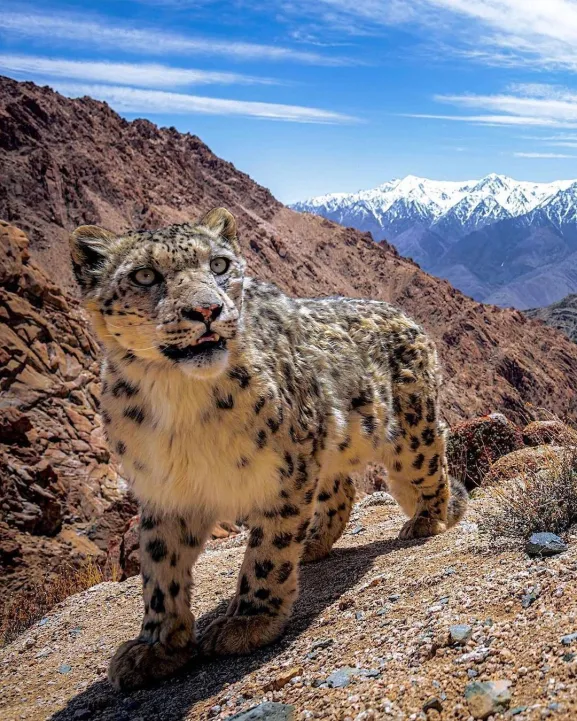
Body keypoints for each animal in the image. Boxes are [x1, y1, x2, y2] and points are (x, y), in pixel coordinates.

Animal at [69, 207, 467, 691]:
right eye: (145, 275)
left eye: (219, 264)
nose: (207, 310)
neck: (178, 397)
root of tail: (408, 318)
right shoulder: (164, 489)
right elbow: (160, 570)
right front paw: (156, 647)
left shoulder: (285, 469)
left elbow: (269, 549)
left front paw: (249, 621)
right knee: (341, 491)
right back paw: (313, 543)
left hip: (408, 432)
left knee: (430, 463)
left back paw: (425, 521)